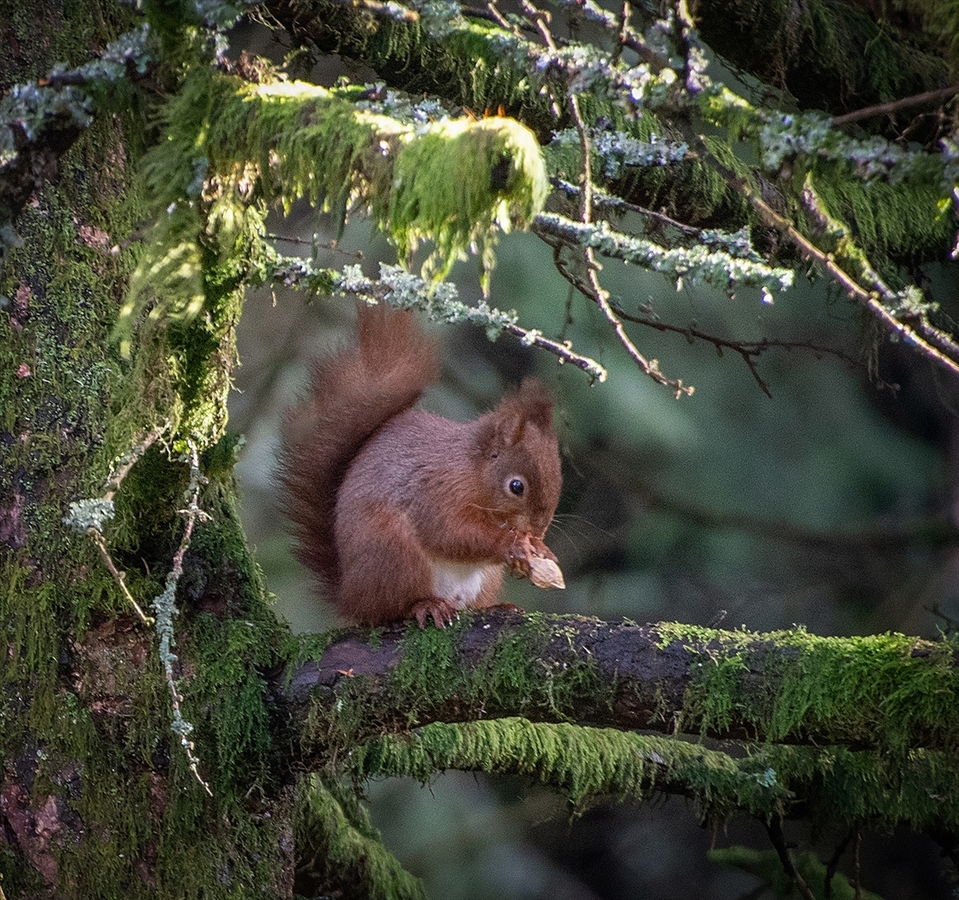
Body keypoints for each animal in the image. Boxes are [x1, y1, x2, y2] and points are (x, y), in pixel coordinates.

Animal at [280, 303, 564, 629]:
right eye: (516, 486)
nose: (538, 529)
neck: (471, 472)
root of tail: (349, 595)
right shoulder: (435, 492)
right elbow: (450, 533)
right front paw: (512, 544)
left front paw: (539, 548)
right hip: (394, 554)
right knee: (390, 608)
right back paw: (426, 605)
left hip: (483, 579)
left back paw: (495, 607)